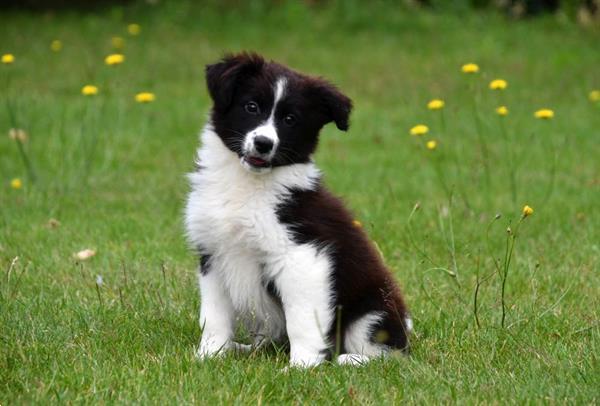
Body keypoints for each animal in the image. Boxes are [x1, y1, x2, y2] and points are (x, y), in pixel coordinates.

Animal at [185, 52, 410, 366]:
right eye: (251, 106)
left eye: (290, 119)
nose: (263, 143)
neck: (249, 185)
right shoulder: (213, 254)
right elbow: (214, 316)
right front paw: (209, 355)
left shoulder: (302, 256)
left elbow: (301, 321)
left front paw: (302, 367)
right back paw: (244, 348)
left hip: (374, 310)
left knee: (390, 352)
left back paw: (348, 360)